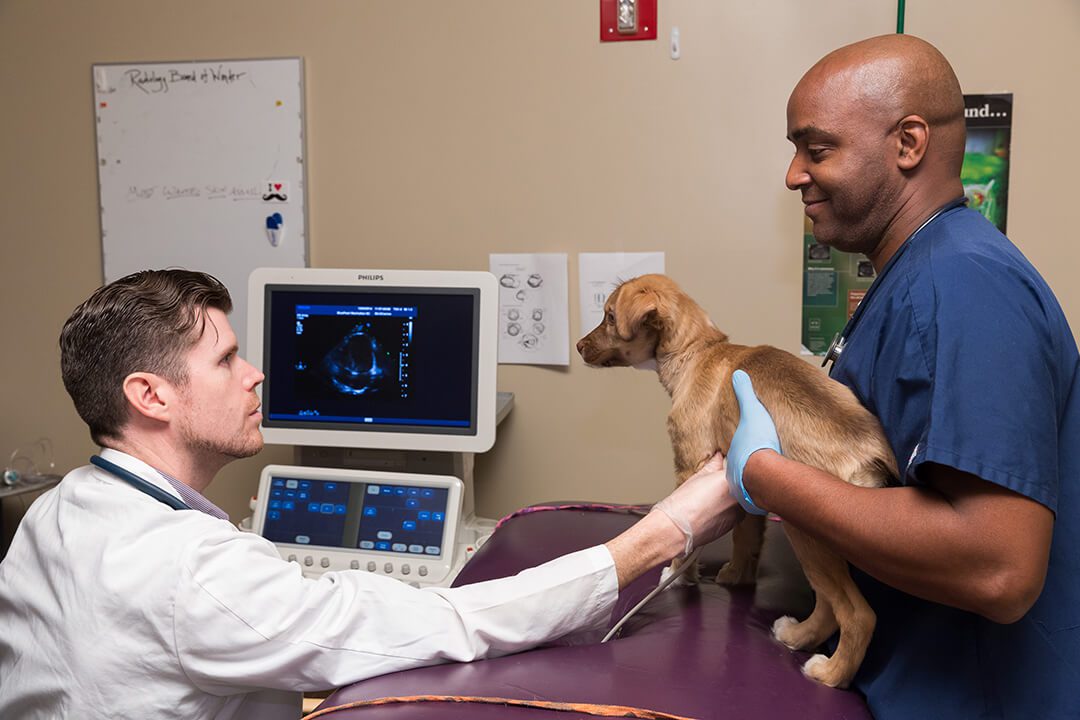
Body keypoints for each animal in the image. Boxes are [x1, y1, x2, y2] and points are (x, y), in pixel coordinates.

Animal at [578, 273, 898, 690]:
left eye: (610, 316)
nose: (578, 346)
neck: (698, 351)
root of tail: (866, 453)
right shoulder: (743, 479)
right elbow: (746, 537)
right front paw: (736, 576)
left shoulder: (690, 466)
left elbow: (686, 536)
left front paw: (681, 576)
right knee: (829, 603)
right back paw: (797, 635)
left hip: (807, 532)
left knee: (855, 613)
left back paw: (828, 671)